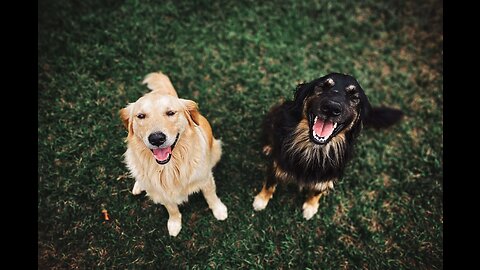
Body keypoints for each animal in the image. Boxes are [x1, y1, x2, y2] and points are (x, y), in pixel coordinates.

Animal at [118, 71, 227, 236]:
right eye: (141, 116)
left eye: (170, 113)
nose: (156, 138)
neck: (169, 167)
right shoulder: (163, 193)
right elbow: (172, 209)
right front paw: (174, 223)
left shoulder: (205, 178)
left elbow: (211, 196)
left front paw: (219, 210)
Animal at [253, 72, 404, 219]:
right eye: (324, 86)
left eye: (354, 97)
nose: (332, 108)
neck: (315, 148)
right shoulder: (276, 164)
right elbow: (270, 184)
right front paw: (261, 201)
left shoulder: (327, 175)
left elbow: (317, 191)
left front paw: (311, 207)